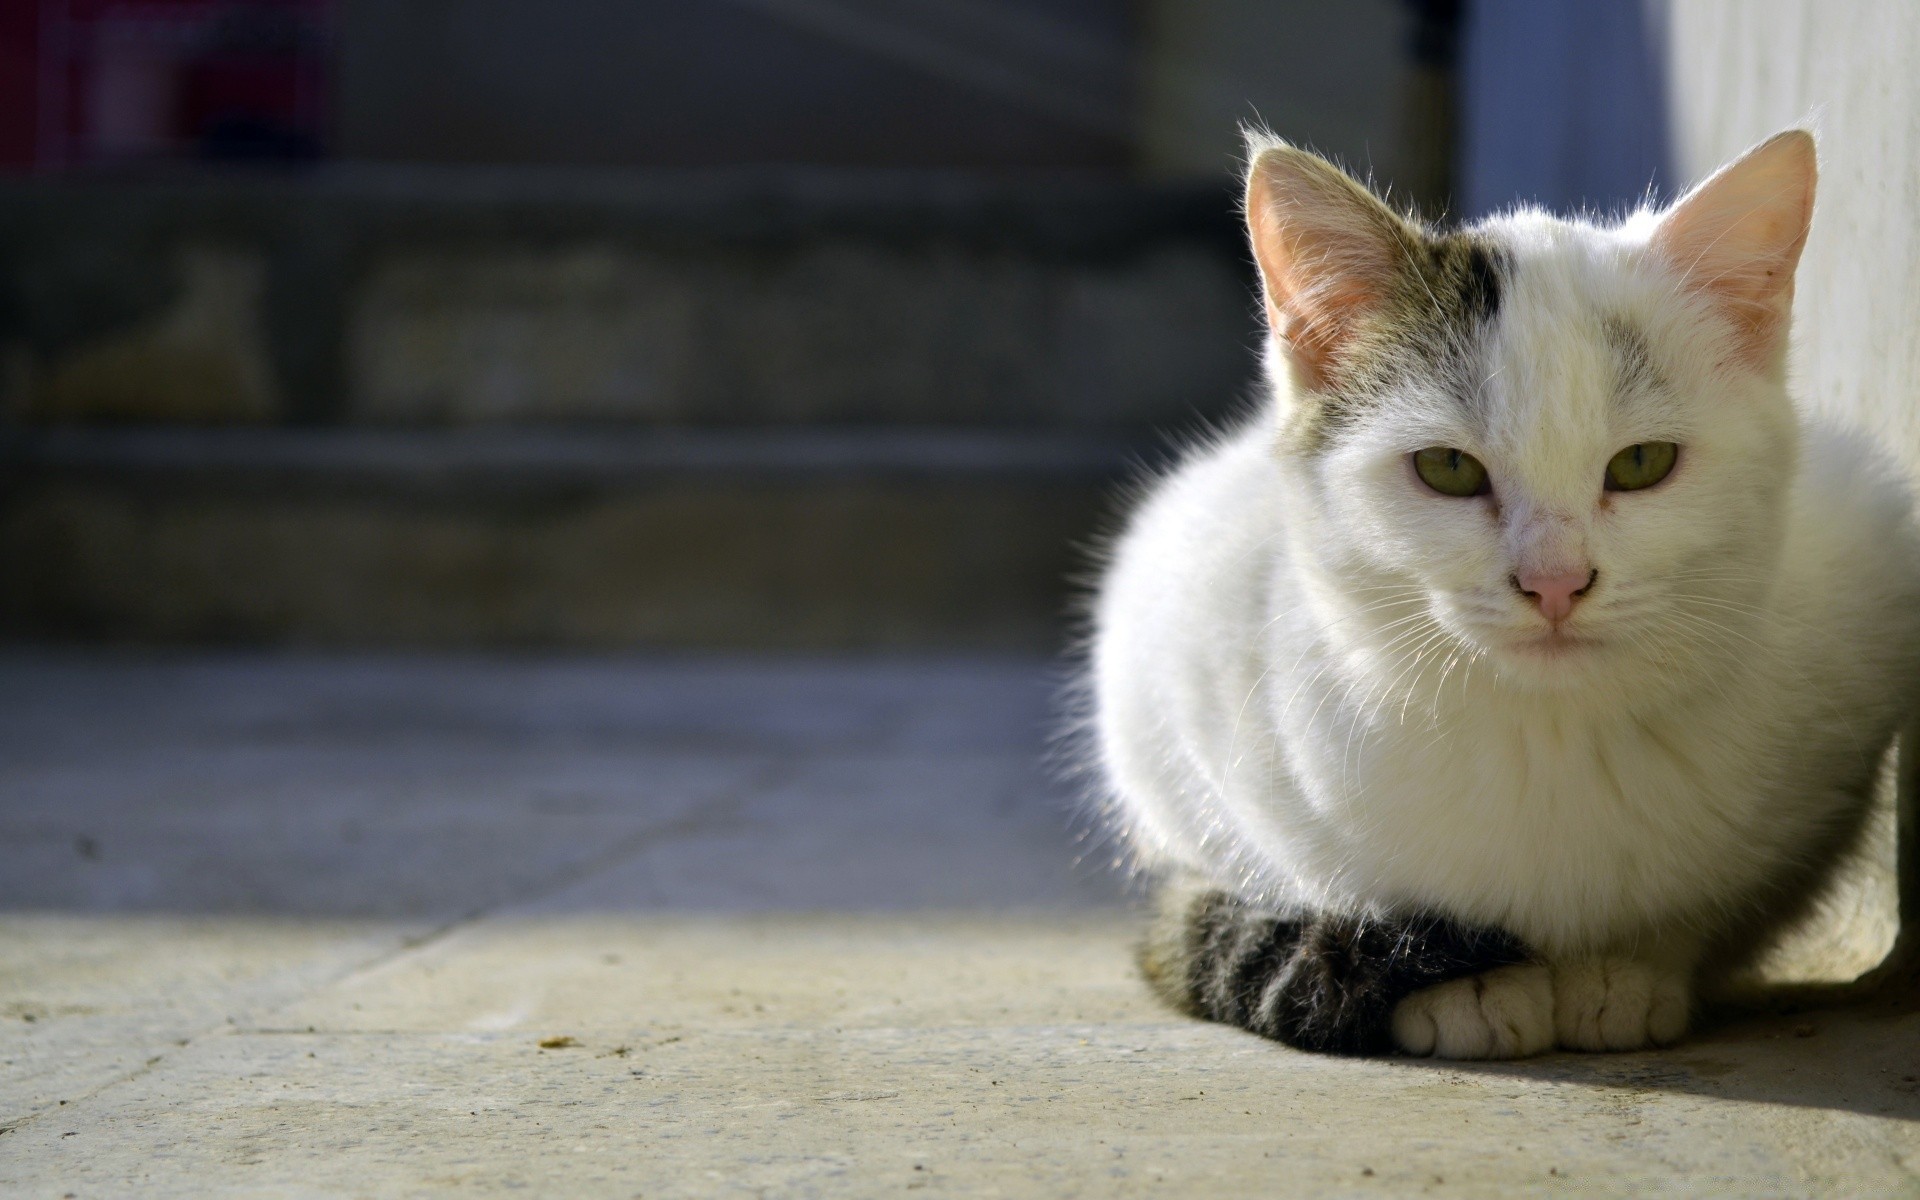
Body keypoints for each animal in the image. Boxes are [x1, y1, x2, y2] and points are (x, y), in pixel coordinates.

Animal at [1090, 130, 1920, 1059]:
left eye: (1643, 463)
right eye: (1447, 468)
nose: (1555, 581)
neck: (1550, 738)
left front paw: (1624, 970)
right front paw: (1472, 988)